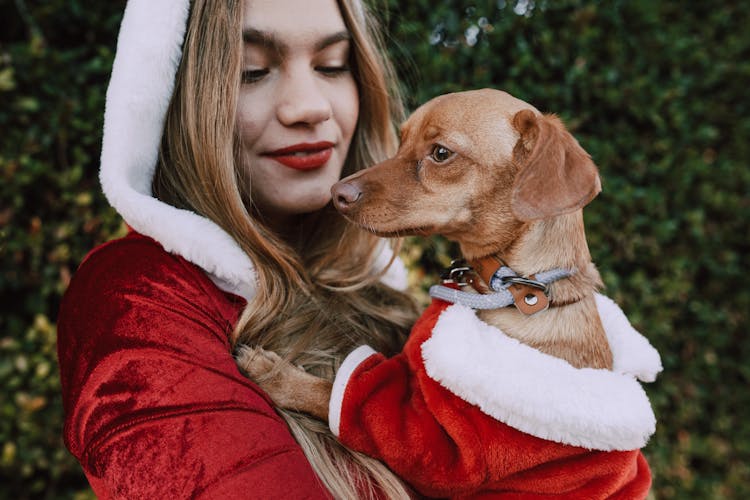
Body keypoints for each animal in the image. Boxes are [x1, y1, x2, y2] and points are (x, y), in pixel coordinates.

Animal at [238, 89, 660, 496]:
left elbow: (339, 393)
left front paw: (277, 374)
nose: (336, 191)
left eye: (441, 153)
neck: (511, 289)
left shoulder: (439, 442)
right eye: (401, 141)